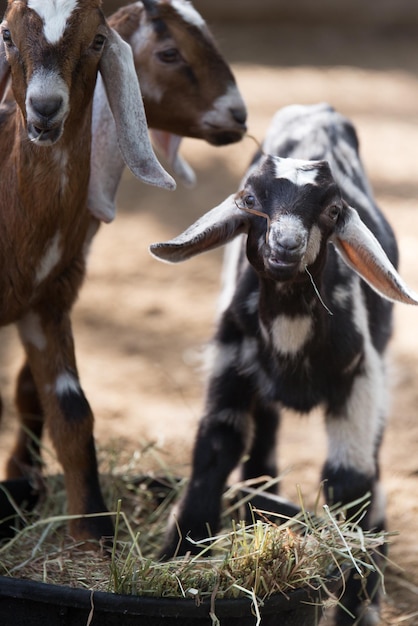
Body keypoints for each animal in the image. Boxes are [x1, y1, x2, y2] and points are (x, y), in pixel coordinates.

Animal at [0, 0, 173, 540]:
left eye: (98, 40)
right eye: (7, 35)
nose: (44, 109)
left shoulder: (47, 302)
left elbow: (74, 413)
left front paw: (92, 535)